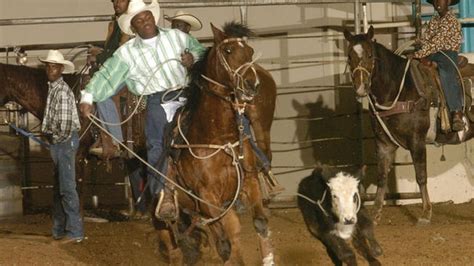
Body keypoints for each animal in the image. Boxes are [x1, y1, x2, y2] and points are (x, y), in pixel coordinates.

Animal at [154, 21, 276, 264]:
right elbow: (230, 235)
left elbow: (258, 222)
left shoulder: (249, 181)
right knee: (172, 243)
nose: (252, 84)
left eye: (249, 52)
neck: (219, 138)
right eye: (228, 51)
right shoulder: (208, 197)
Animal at [342, 25, 474, 224]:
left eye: (370, 55)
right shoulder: (383, 143)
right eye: (349, 56)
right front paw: (375, 214)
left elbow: (421, 176)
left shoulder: (417, 141)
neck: (399, 89)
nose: (361, 88)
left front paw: (426, 213)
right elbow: (382, 177)